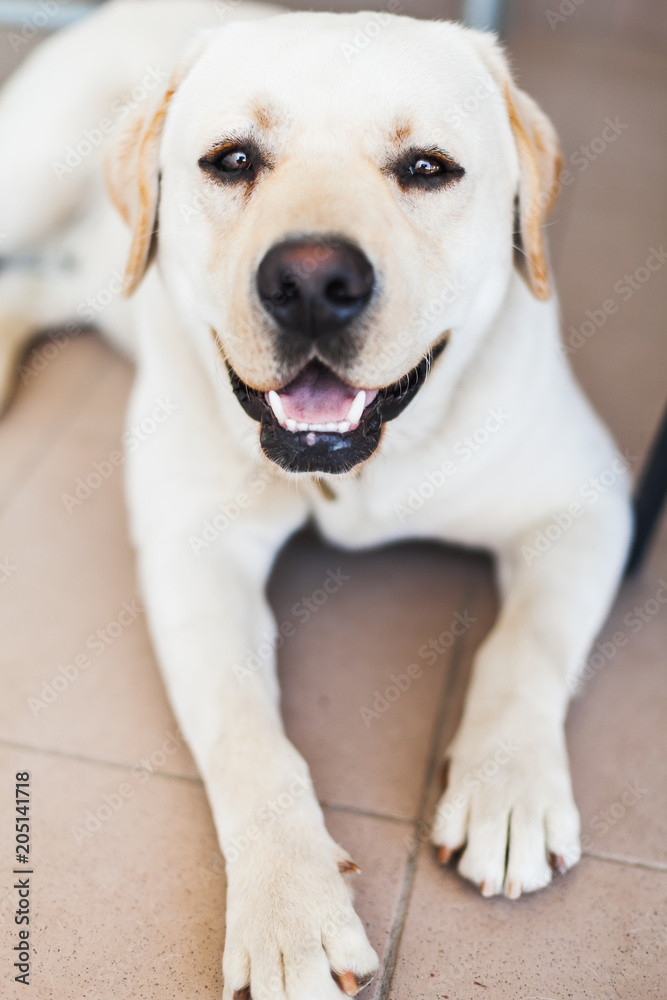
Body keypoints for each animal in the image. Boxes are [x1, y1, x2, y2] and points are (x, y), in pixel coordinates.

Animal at [0, 1, 632, 992]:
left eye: (426, 169)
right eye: (232, 160)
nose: (309, 284)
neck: (354, 474)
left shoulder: (588, 502)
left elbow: (523, 646)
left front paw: (506, 787)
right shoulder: (193, 559)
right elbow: (249, 742)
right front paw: (289, 912)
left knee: (33, 283)